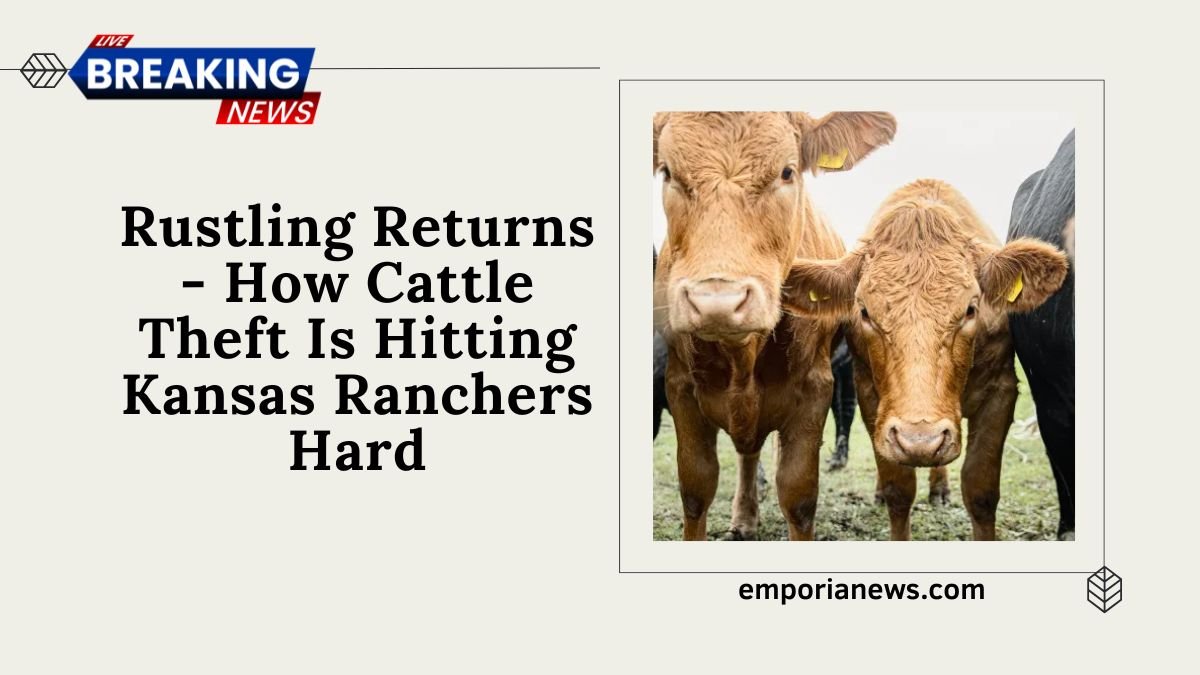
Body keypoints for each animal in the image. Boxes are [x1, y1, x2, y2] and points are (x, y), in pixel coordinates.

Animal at [653, 111, 896, 540]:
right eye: (667, 171)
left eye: (787, 171)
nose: (717, 302)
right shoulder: (679, 384)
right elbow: (696, 490)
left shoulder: (816, 387)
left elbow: (798, 496)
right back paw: (745, 516)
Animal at [785, 179, 1068, 540]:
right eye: (864, 311)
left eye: (970, 309)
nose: (920, 441)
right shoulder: (870, 395)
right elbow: (898, 488)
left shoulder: (1001, 390)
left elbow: (981, 490)